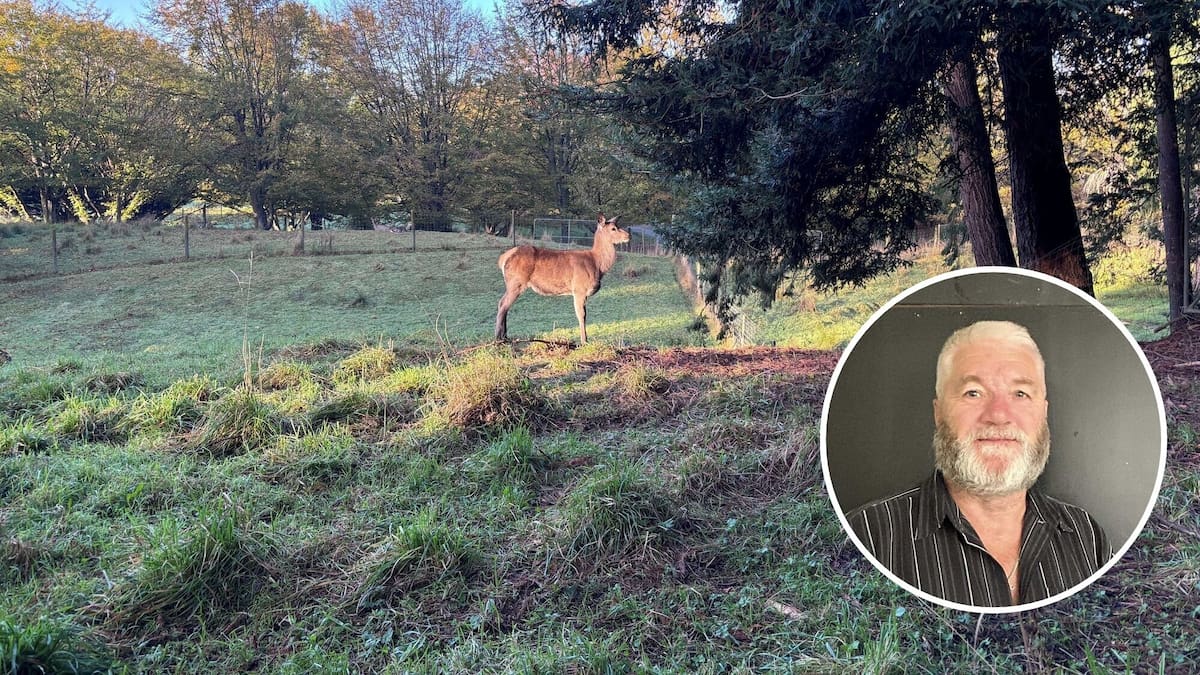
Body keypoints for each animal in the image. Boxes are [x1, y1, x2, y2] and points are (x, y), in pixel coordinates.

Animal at [495, 213, 632, 345]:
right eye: (613, 228)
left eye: (618, 225)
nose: (628, 235)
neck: (597, 264)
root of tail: (503, 258)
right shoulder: (579, 289)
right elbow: (582, 315)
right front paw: (584, 341)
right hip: (516, 282)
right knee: (503, 304)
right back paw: (498, 339)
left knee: (505, 305)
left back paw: (505, 337)